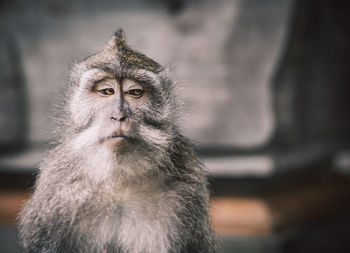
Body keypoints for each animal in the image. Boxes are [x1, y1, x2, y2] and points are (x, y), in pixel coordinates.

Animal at [18, 30, 216, 253]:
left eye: (135, 92)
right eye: (107, 91)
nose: (119, 116)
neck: (119, 178)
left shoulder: (187, 188)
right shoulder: (57, 187)